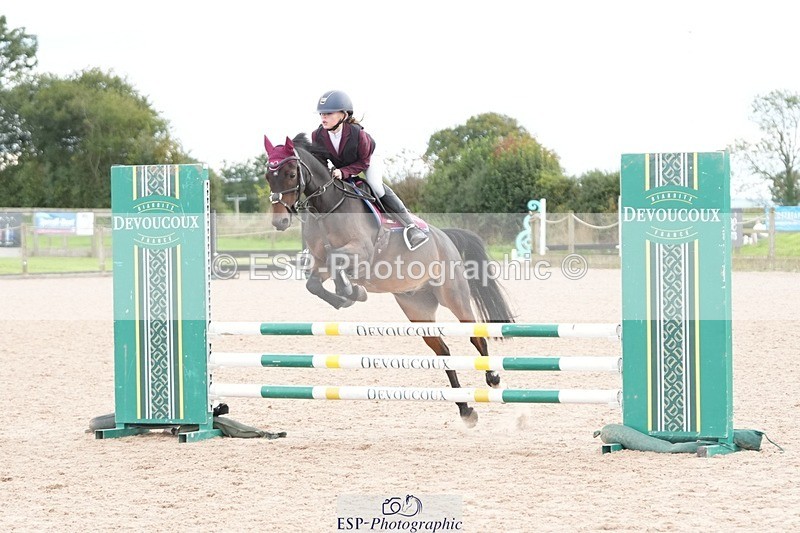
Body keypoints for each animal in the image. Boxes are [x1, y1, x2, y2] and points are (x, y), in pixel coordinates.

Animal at [263, 133, 516, 427]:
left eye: (292, 174)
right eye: (268, 176)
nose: (279, 222)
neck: (327, 208)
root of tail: (445, 237)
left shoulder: (361, 252)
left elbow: (338, 263)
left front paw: (353, 291)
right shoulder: (321, 264)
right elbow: (314, 284)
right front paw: (350, 296)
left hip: (453, 294)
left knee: (477, 336)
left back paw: (493, 378)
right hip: (417, 308)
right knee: (442, 351)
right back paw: (465, 409)